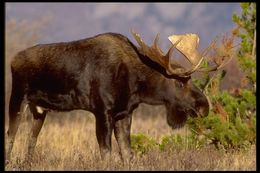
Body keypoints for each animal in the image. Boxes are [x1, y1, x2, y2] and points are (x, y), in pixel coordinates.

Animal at [5, 30, 230, 164]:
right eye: (179, 82)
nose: (203, 106)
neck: (134, 84)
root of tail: (13, 60)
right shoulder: (102, 111)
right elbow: (106, 154)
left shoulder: (125, 113)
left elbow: (127, 154)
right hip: (17, 98)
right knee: (11, 135)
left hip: (39, 110)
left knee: (31, 139)